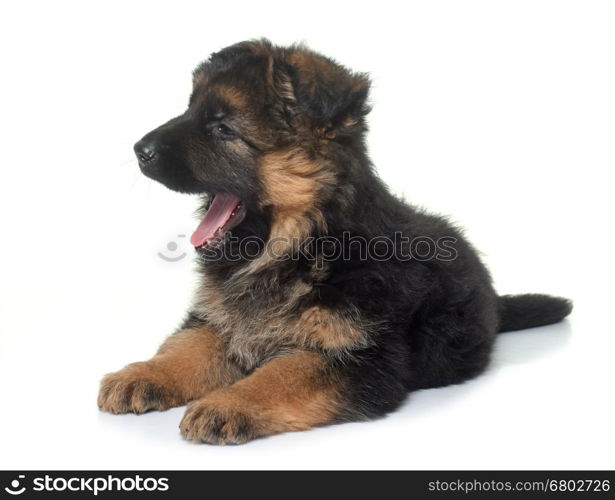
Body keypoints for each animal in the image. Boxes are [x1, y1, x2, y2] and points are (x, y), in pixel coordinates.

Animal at [96, 41, 572, 444]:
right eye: (190, 110)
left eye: (222, 128)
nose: (139, 150)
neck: (299, 245)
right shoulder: (221, 320)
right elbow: (185, 347)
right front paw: (143, 373)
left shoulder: (361, 357)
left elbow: (282, 373)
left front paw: (229, 403)